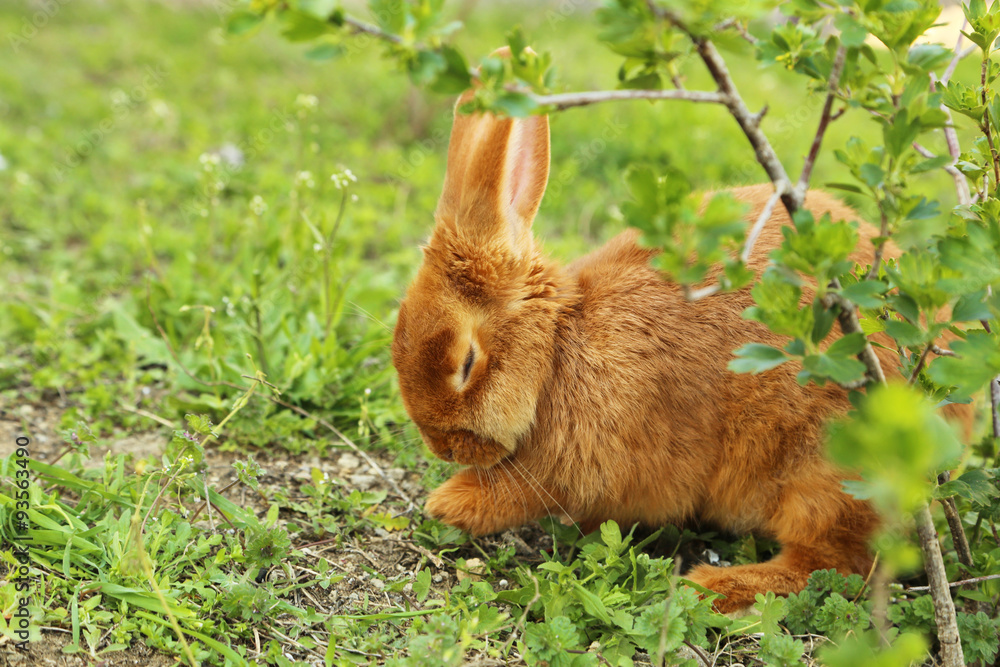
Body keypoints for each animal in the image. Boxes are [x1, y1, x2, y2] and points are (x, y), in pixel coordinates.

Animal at [390, 58, 964, 614]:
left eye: (466, 363)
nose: (443, 447)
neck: (557, 351)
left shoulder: (583, 464)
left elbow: (519, 492)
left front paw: (449, 503)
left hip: (828, 470)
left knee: (835, 565)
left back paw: (715, 587)